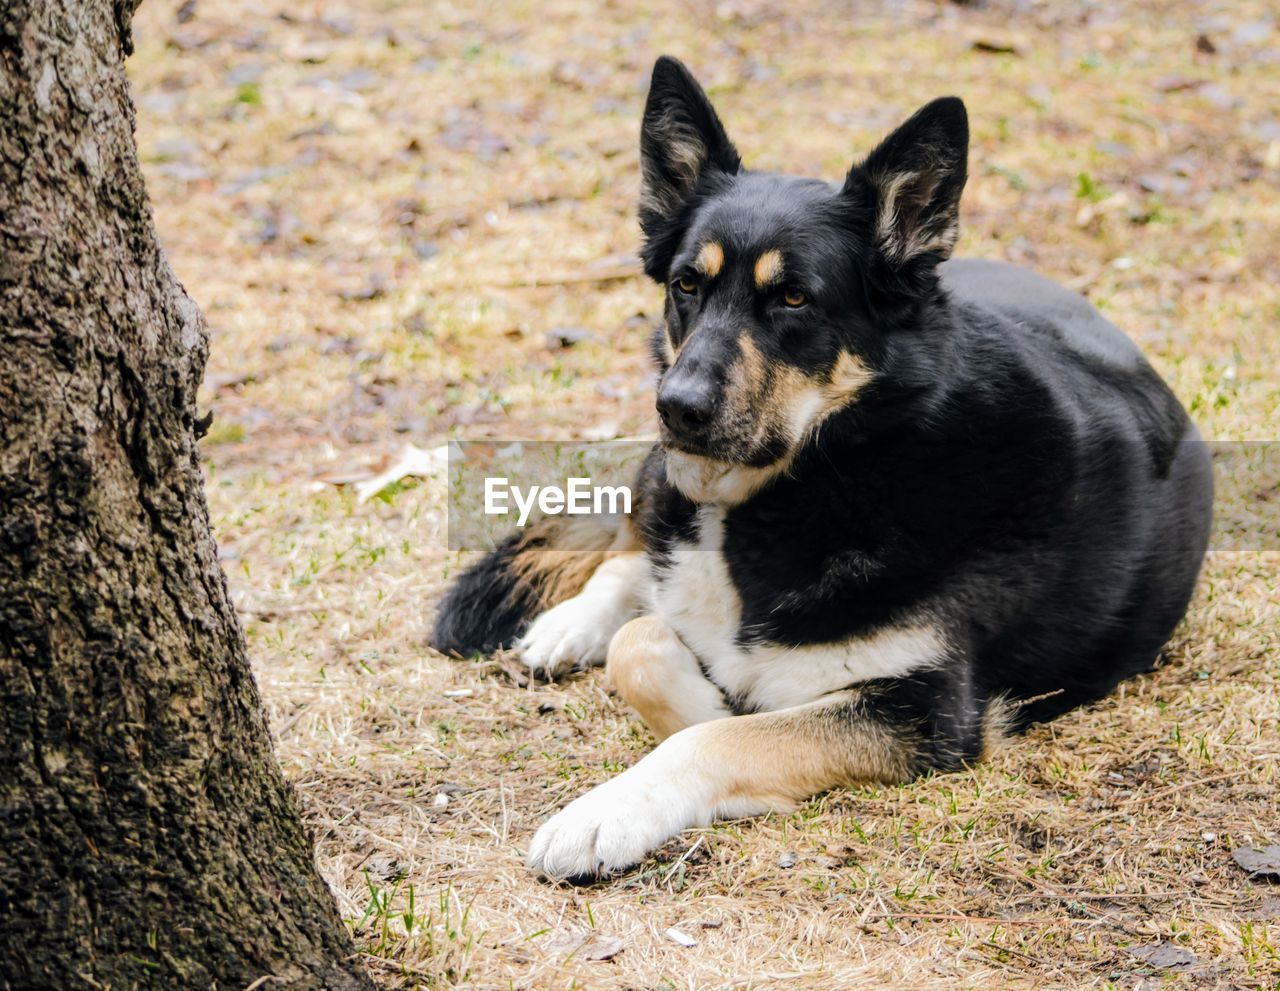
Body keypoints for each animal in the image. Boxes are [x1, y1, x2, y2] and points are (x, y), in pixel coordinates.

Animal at [427, 56, 1208, 875]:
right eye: (686, 285)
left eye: (795, 298)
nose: (676, 407)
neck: (832, 470)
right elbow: (641, 645)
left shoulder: (924, 708)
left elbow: (719, 728)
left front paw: (615, 803)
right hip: (656, 479)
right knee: (634, 556)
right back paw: (572, 622)